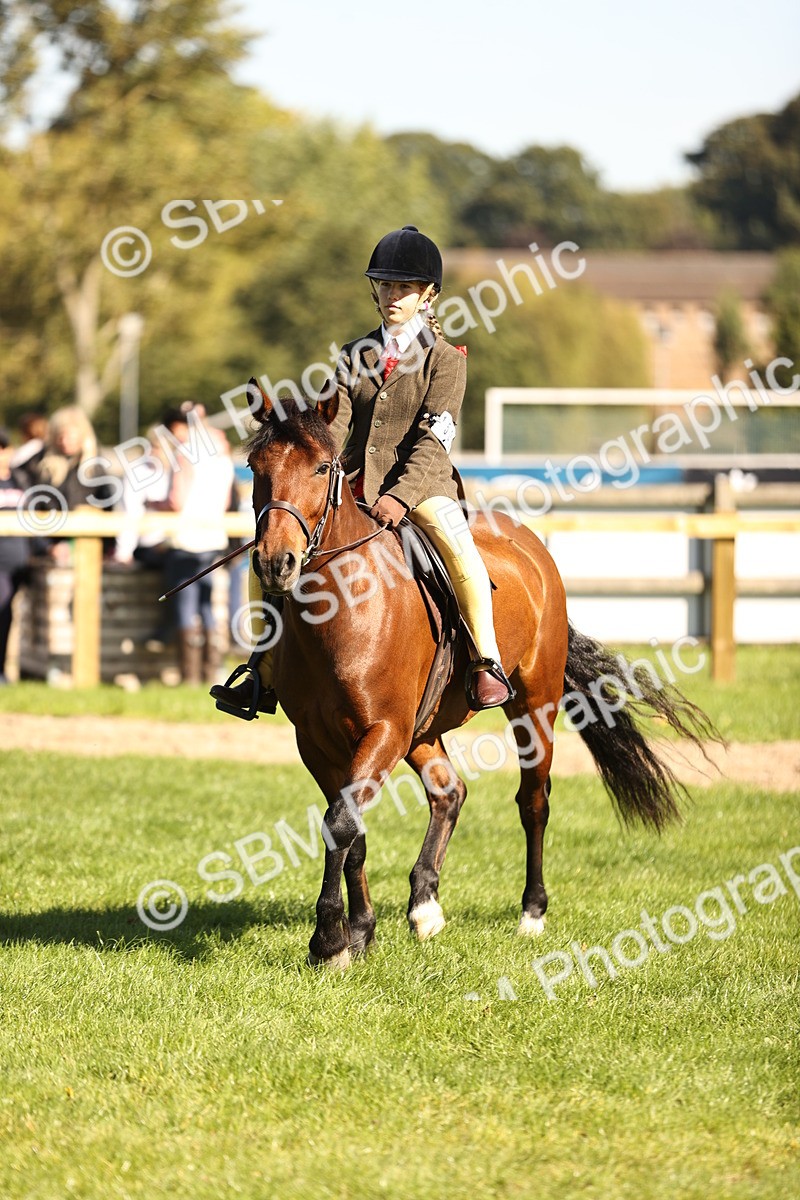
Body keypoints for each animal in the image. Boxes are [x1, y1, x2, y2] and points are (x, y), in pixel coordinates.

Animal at [246, 389, 715, 970]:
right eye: (255, 467)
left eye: (320, 467)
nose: (275, 563)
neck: (342, 609)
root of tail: (531, 545)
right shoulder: (316, 741)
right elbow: (351, 833)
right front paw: (359, 933)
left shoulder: (382, 731)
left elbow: (341, 824)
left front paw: (329, 941)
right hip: (422, 730)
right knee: (449, 792)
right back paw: (425, 906)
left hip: (531, 706)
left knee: (533, 802)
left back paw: (532, 913)